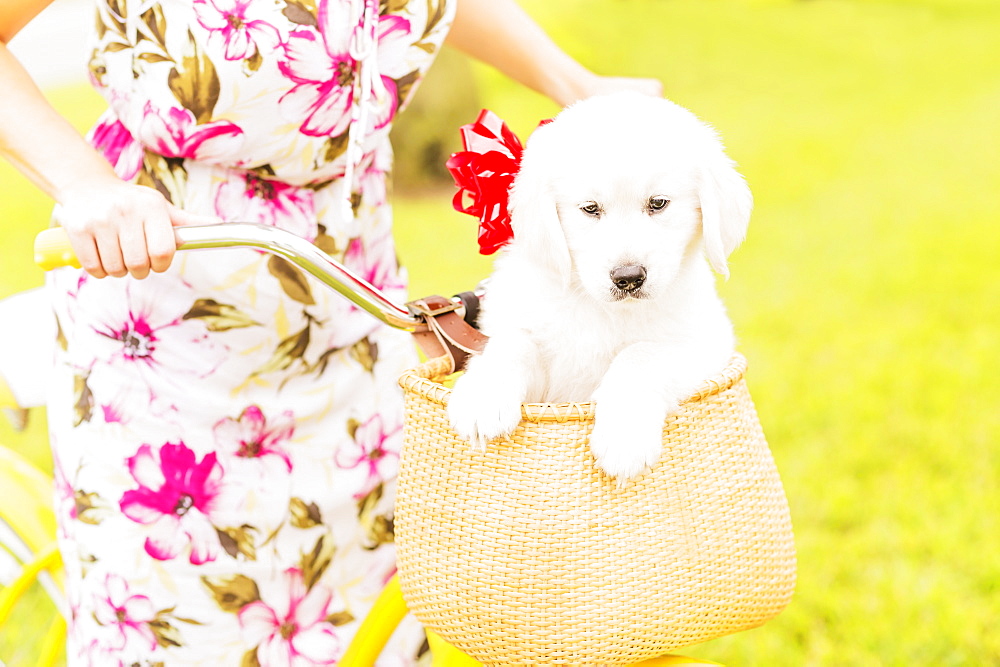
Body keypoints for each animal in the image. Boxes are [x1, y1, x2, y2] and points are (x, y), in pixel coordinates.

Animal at [448, 91, 752, 482]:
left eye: (658, 203)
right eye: (590, 208)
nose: (628, 277)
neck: (601, 308)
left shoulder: (705, 345)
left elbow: (640, 354)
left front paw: (624, 439)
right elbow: (515, 343)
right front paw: (482, 396)